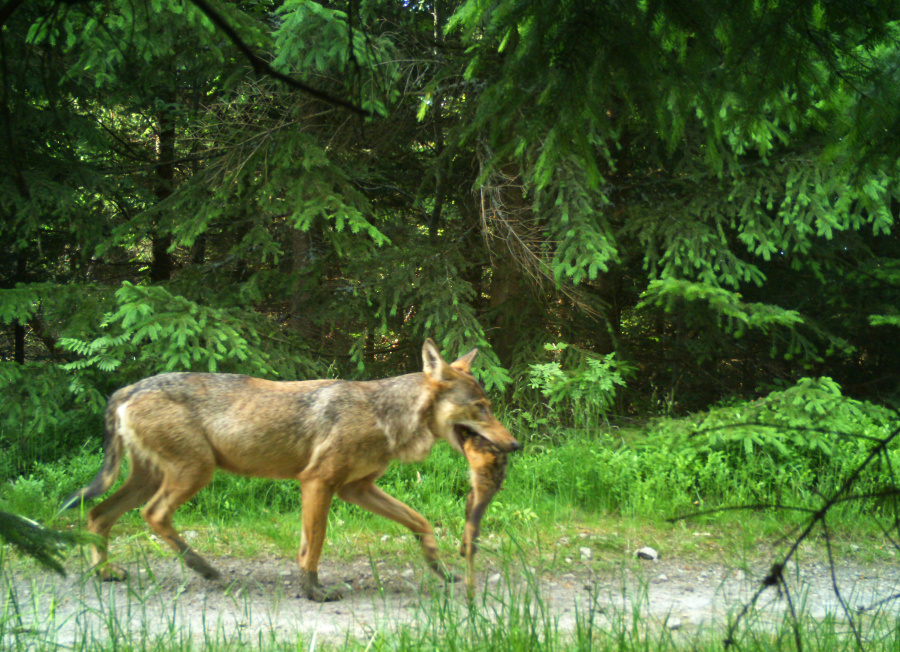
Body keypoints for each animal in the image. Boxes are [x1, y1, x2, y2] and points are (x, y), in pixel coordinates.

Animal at [61, 342, 520, 600]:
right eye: (481, 408)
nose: (515, 444)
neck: (383, 415)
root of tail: (126, 388)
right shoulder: (317, 482)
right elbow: (312, 545)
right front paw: (313, 591)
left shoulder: (356, 489)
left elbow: (421, 522)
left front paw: (438, 567)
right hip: (194, 473)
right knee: (151, 515)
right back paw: (203, 567)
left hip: (153, 478)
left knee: (97, 515)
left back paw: (106, 572)